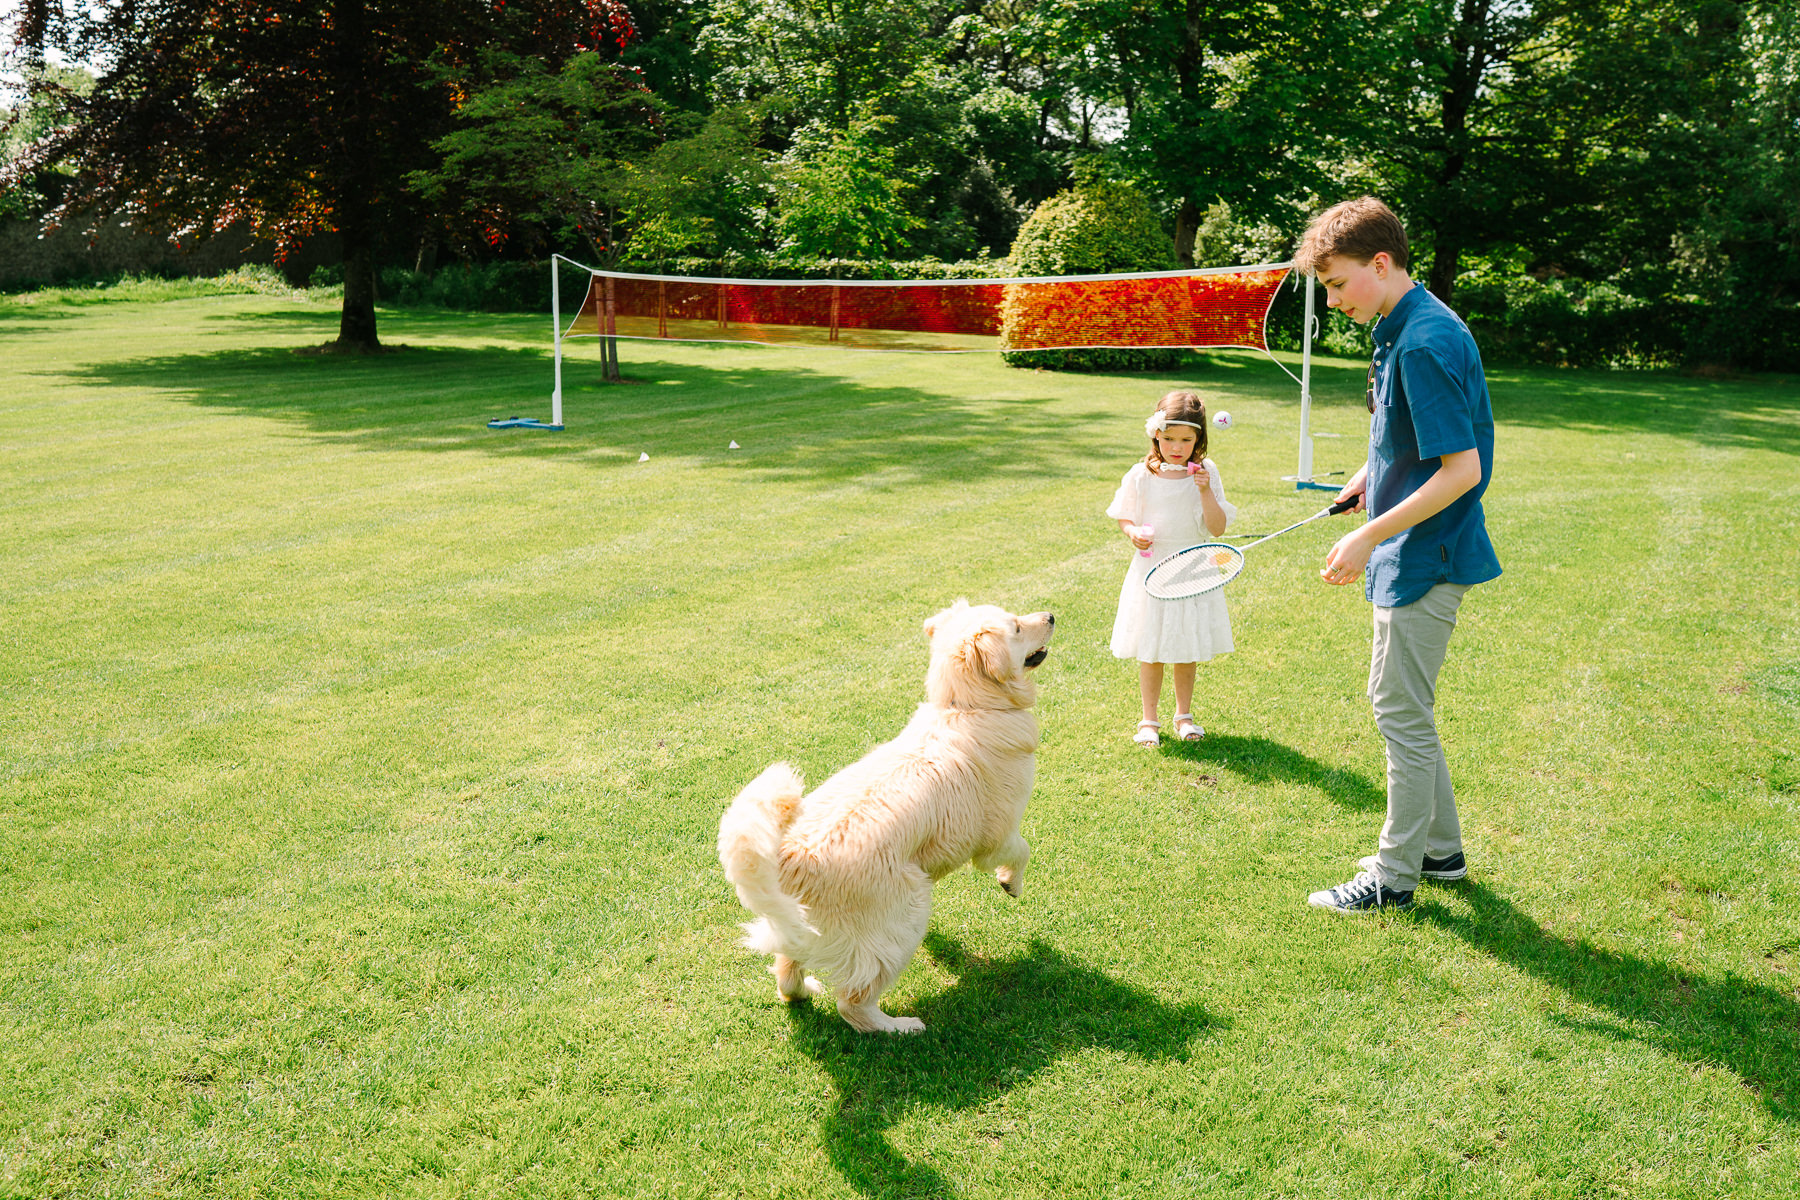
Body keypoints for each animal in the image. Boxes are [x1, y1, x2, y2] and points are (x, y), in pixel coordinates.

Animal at [716, 600, 1051, 1036]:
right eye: (1016, 627)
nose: (1051, 617)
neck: (966, 705)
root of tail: (793, 858)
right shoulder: (996, 835)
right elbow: (1022, 850)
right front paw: (1011, 884)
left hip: (803, 930)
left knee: (786, 973)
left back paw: (804, 991)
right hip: (905, 913)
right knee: (853, 1003)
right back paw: (900, 1026)